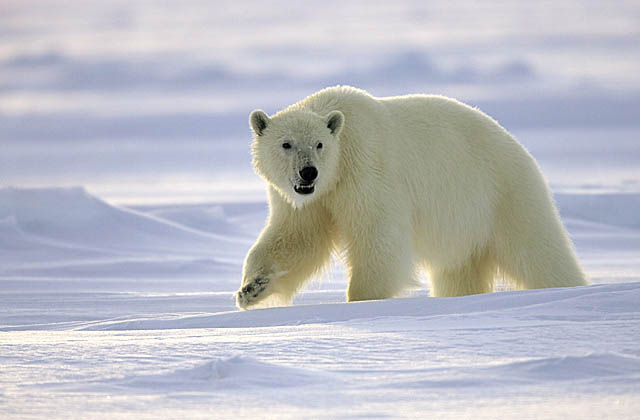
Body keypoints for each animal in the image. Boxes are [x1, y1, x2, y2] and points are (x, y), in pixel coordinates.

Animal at [236, 86, 592, 308]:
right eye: (286, 144)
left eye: (319, 144)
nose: (308, 172)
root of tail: (518, 146)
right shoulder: (308, 200)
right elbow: (297, 238)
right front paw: (251, 288)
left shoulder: (366, 172)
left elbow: (379, 237)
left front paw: (360, 299)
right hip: (466, 231)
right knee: (458, 272)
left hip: (505, 193)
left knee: (539, 252)